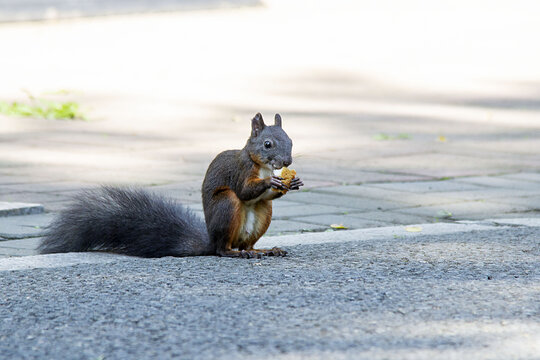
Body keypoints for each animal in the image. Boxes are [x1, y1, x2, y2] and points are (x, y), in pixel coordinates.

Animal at [39, 114, 304, 258]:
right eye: (267, 144)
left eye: (291, 140)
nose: (287, 162)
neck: (261, 165)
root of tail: (210, 240)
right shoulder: (239, 172)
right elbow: (245, 190)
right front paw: (272, 181)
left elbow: (266, 196)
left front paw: (292, 182)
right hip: (226, 206)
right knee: (223, 248)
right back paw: (235, 252)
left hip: (263, 215)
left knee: (247, 241)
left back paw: (263, 250)